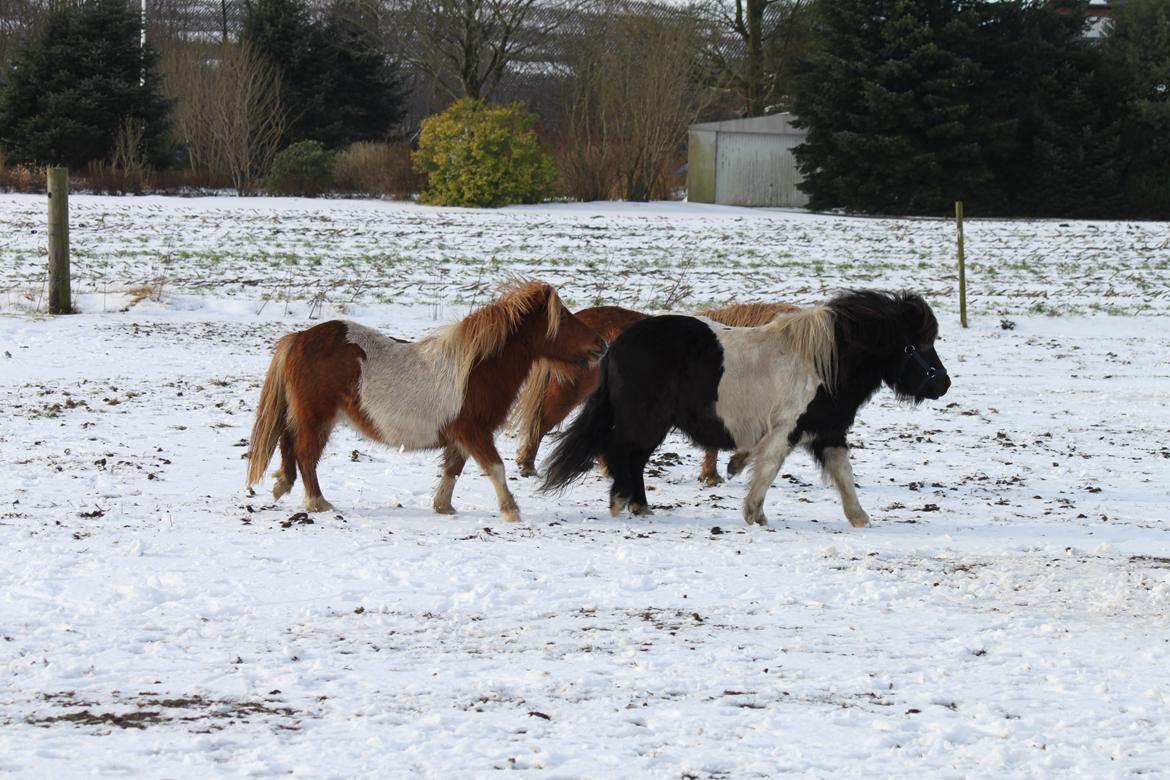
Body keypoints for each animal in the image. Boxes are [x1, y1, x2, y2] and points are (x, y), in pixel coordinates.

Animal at [244, 280, 603, 523]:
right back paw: (317, 502)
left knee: (290, 445)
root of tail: (297, 339)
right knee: (305, 454)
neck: (477, 368)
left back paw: (282, 486)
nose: (600, 344)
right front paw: (511, 510)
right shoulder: (474, 432)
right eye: (564, 319)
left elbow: (453, 470)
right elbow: (495, 468)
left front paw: (443, 507)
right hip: (317, 418)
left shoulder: (462, 436)